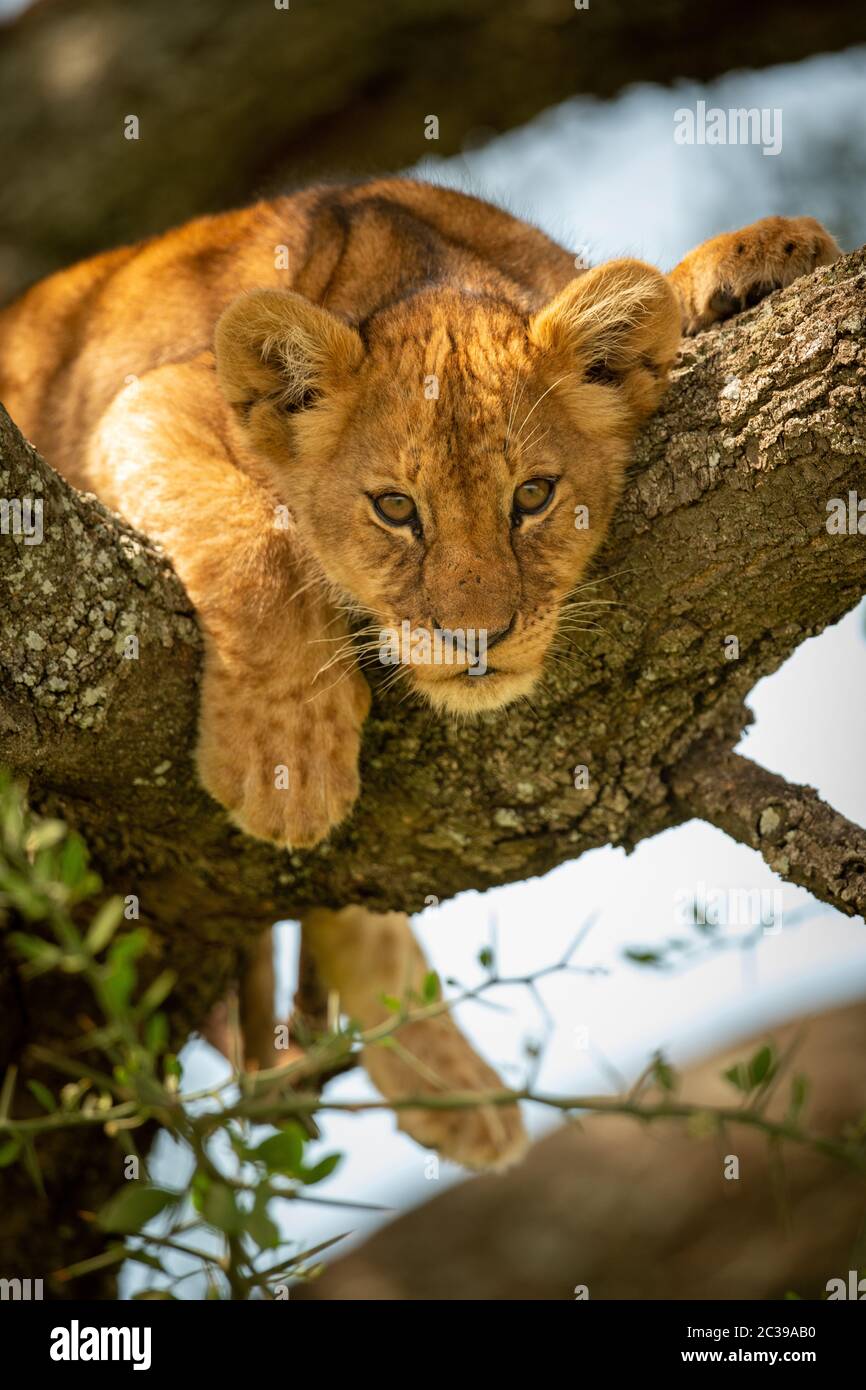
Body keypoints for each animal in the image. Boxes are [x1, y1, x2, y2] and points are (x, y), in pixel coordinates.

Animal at [0, 179, 838, 1168]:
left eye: (533, 496)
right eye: (396, 509)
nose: (475, 637)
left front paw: (764, 255)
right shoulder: (151, 398)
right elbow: (256, 540)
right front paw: (286, 766)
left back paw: (453, 1084)